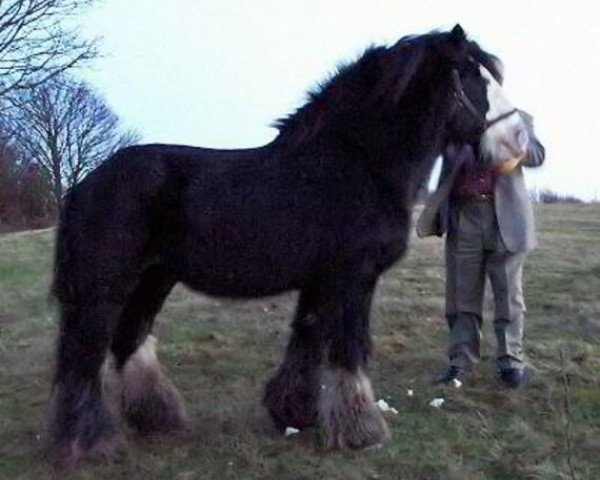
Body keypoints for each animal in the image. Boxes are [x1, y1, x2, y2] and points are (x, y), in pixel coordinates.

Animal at [50, 26, 528, 464]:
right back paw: (90, 443)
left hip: (154, 279)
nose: (519, 140)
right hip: (105, 289)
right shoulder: (353, 278)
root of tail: (84, 185)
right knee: (82, 357)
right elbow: (348, 349)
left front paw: (298, 414)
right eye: (473, 77)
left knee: (129, 340)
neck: (359, 164)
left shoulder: (319, 283)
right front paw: (362, 431)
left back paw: (158, 418)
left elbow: (308, 345)